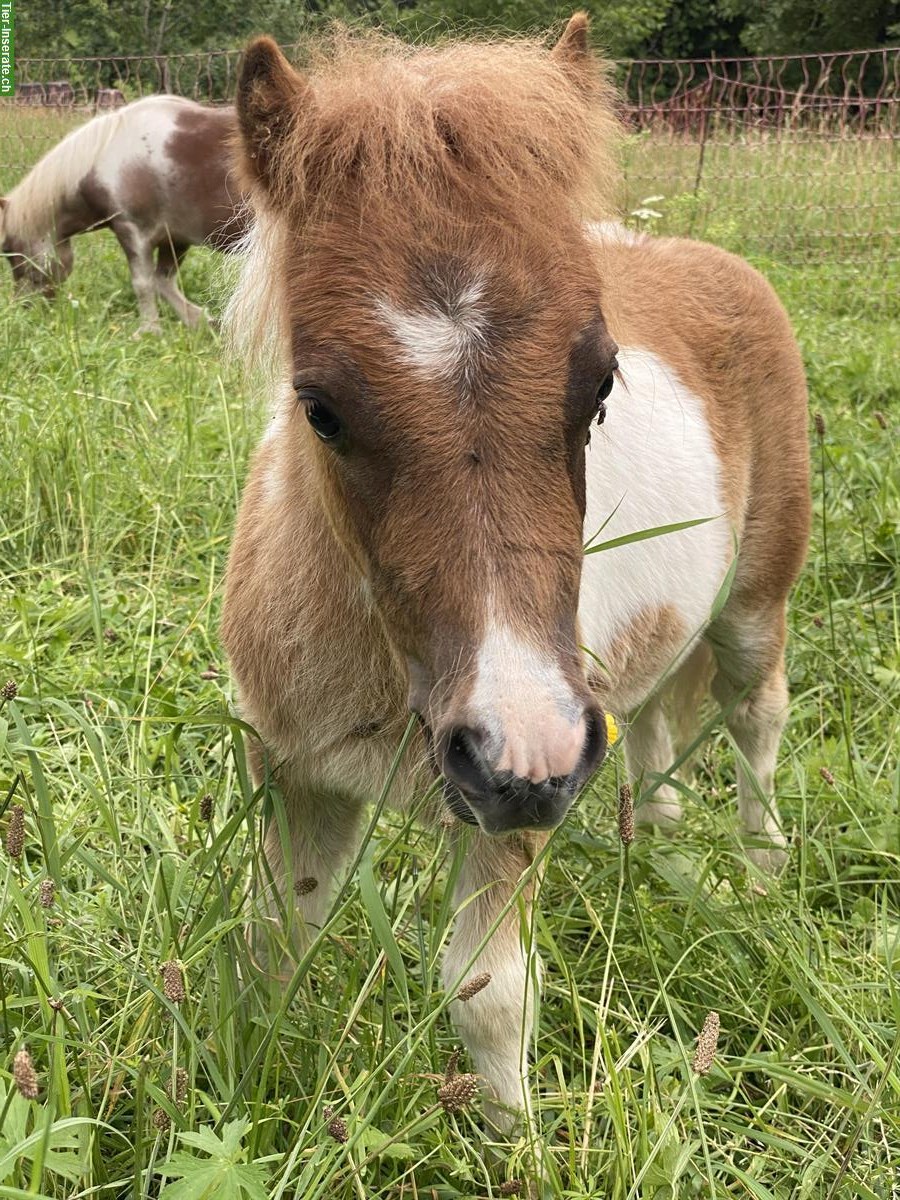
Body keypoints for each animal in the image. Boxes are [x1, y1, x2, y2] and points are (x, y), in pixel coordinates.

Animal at [0, 96, 247, 331]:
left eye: (10, 252)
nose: (22, 310)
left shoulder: (132, 230)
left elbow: (143, 283)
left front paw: (149, 330)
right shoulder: (175, 238)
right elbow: (163, 281)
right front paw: (202, 321)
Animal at [222, 14, 816, 1128]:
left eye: (600, 386)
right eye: (319, 406)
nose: (521, 745)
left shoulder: (512, 807)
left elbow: (490, 995)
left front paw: (513, 1142)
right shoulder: (295, 772)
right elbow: (269, 944)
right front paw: (250, 1105)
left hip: (751, 606)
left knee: (755, 720)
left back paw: (760, 878)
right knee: (656, 731)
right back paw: (653, 856)